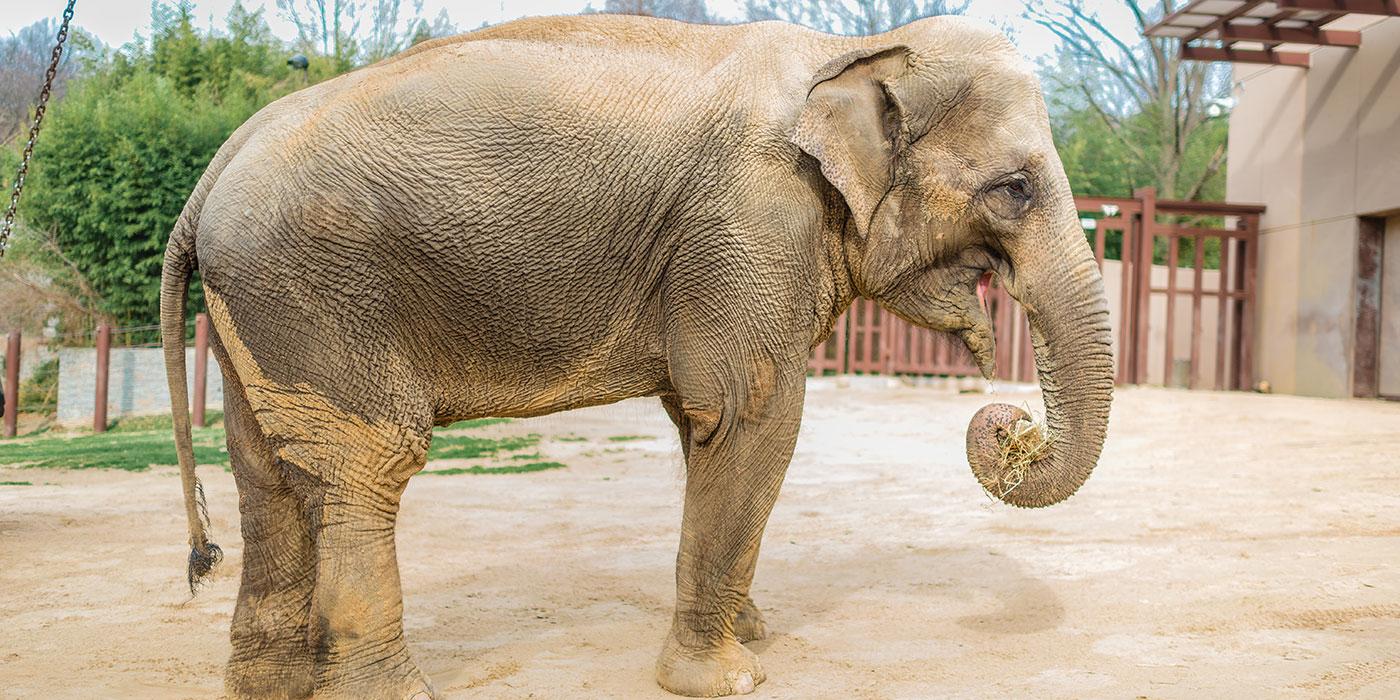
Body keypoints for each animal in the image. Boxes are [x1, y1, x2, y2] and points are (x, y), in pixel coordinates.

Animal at [158, 12, 1108, 700]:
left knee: (266, 472)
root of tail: (210, 175)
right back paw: (389, 692)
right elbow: (751, 416)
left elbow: (705, 428)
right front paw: (728, 678)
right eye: (1015, 189)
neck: (845, 53)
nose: (1005, 423)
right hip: (317, 291)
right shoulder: (751, 221)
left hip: (263, 308)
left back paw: (266, 687)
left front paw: (747, 631)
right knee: (366, 466)